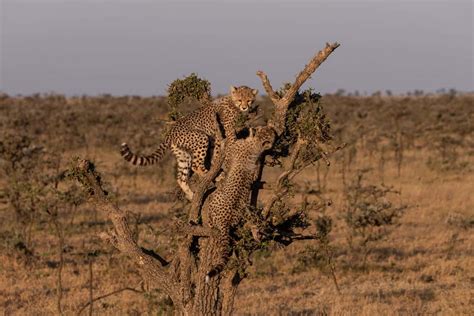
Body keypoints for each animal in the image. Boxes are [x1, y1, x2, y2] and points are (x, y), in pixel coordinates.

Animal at [120, 85, 258, 201]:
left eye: (249, 100)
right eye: (240, 99)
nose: (245, 107)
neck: (232, 102)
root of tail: (171, 131)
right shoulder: (224, 135)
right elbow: (224, 148)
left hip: (183, 154)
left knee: (181, 177)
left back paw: (191, 194)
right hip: (201, 137)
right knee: (196, 165)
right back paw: (210, 175)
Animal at [202, 124, 276, 280]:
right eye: (264, 130)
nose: (258, 126)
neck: (255, 146)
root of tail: (225, 221)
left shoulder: (231, 151)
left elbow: (229, 138)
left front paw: (227, 130)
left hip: (214, 198)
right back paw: (256, 233)